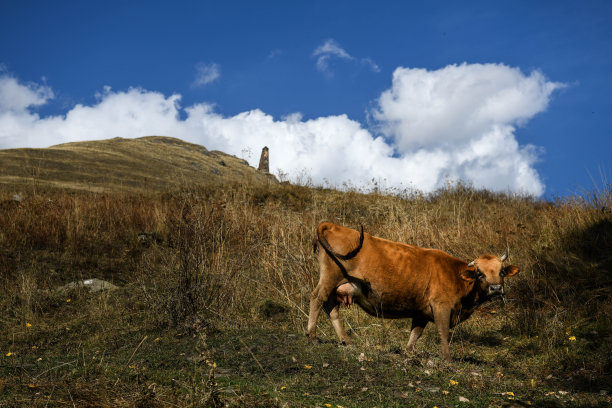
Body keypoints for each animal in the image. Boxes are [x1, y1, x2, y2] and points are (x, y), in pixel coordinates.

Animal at [308, 223, 520, 360]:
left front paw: (408, 353)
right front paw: (447, 360)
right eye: (479, 273)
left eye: (501, 271)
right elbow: (443, 332)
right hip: (330, 277)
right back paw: (312, 335)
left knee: (331, 307)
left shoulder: (421, 311)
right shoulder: (441, 306)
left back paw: (345, 340)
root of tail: (334, 226)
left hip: (336, 284)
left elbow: (416, 333)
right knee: (317, 299)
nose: (496, 288)